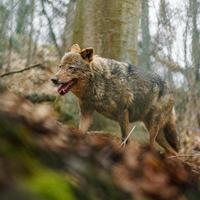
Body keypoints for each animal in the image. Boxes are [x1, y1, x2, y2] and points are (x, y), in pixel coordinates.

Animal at [50, 44, 179, 155]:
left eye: (71, 68)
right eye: (60, 66)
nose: (53, 79)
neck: (98, 82)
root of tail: (171, 89)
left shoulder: (123, 113)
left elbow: (126, 140)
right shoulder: (86, 113)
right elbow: (81, 132)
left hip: (153, 128)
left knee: (155, 147)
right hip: (156, 133)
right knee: (172, 151)